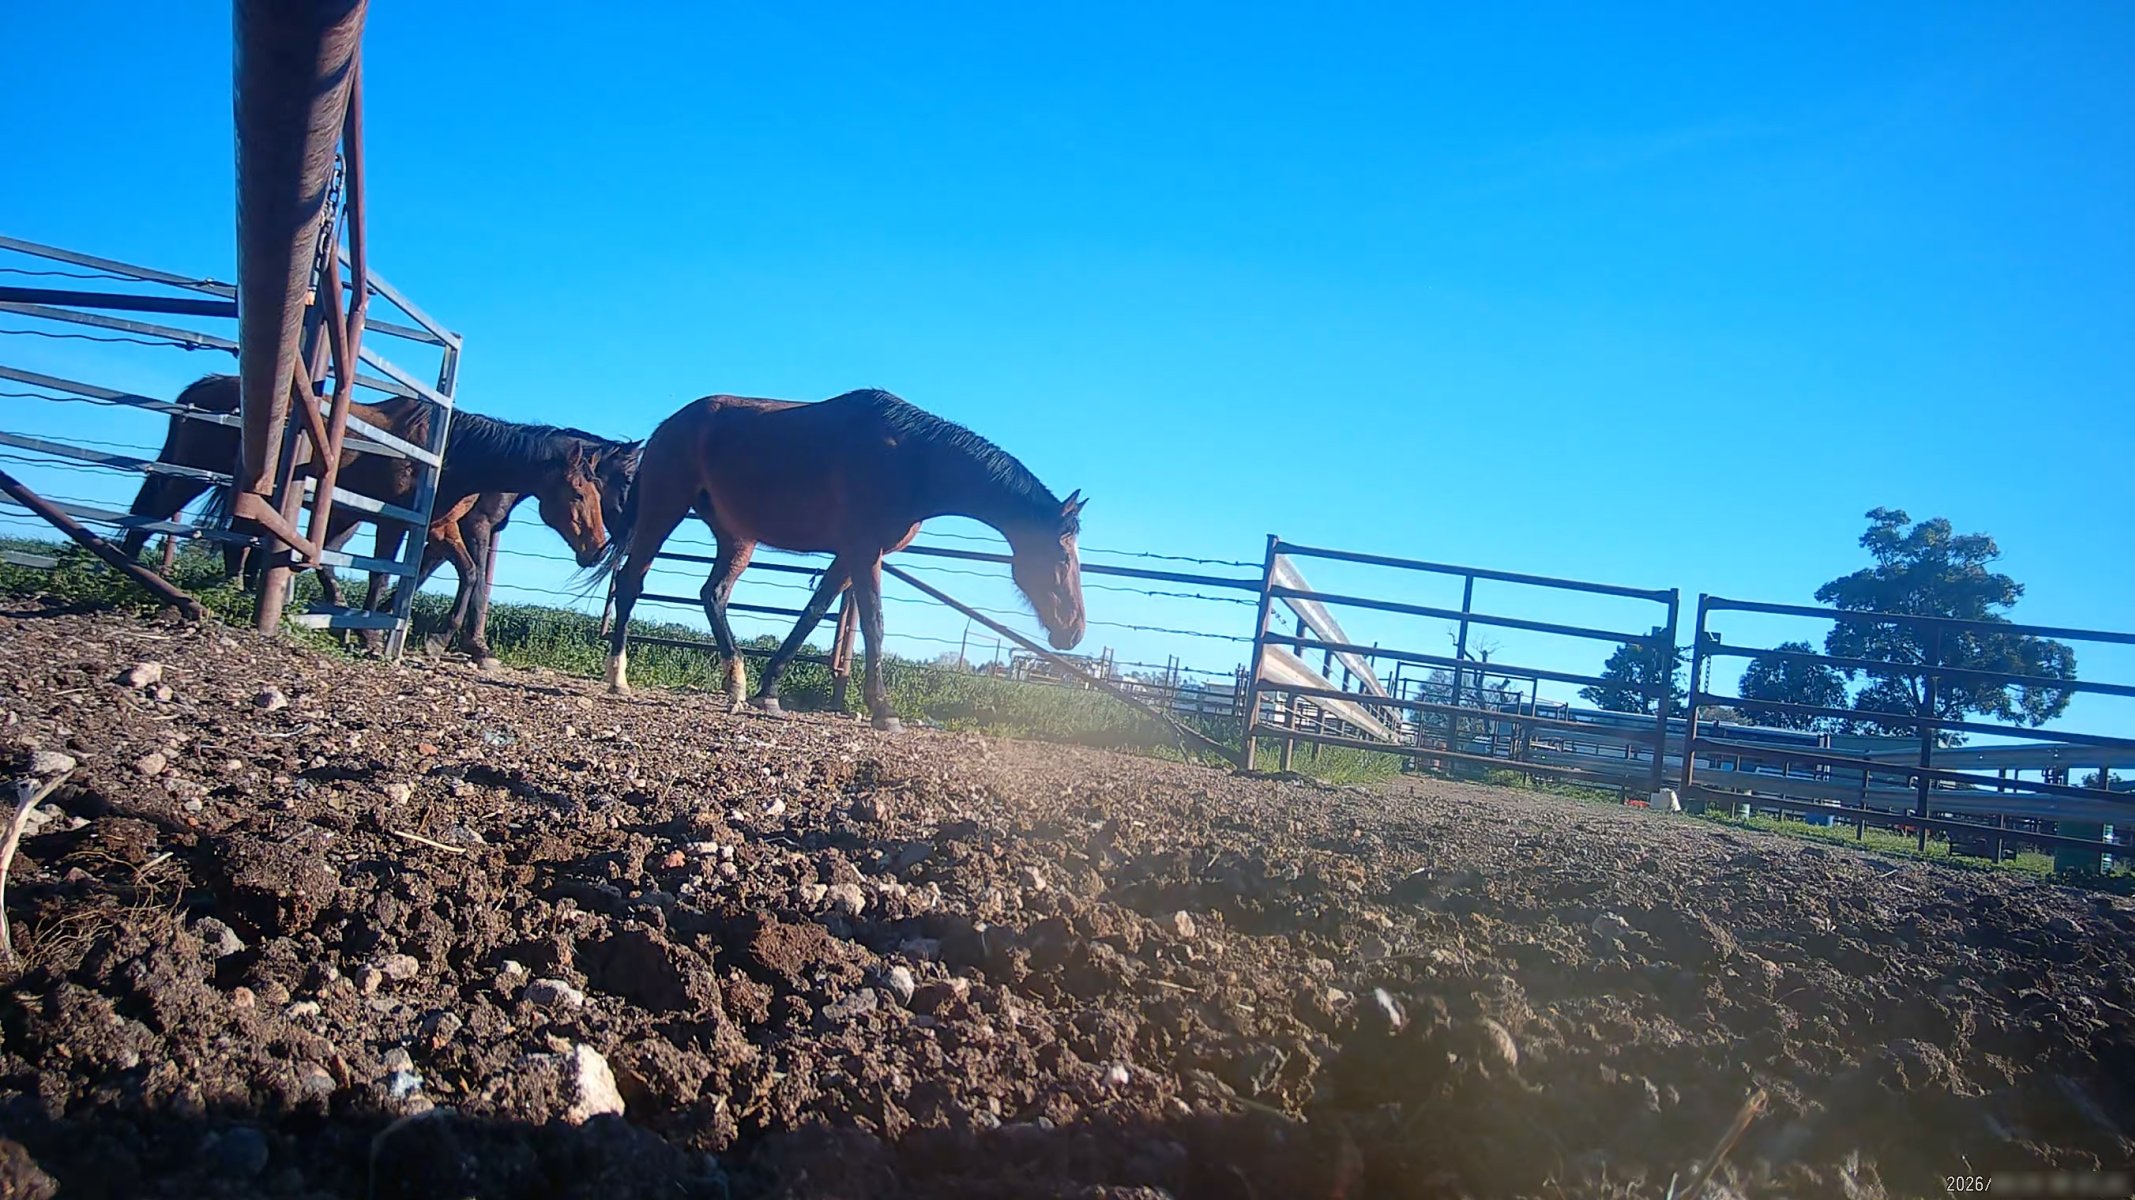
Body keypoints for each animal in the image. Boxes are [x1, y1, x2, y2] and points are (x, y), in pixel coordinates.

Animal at [590, 387, 1086, 731]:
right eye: (1063, 557)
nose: (1074, 631)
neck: (912, 460)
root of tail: (668, 425)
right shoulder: (865, 553)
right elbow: (874, 624)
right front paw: (884, 710)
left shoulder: (850, 555)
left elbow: (812, 614)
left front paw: (770, 693)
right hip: (664, 510)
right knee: (632, 583)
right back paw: (619, 679)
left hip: (736, 537)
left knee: (713, 595)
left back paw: (737, 687)